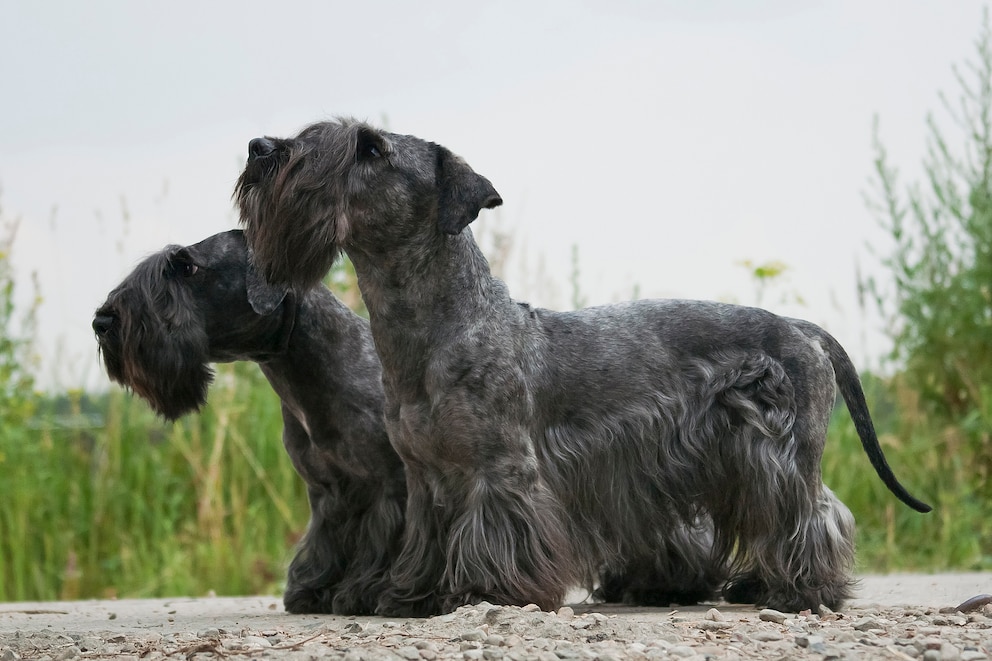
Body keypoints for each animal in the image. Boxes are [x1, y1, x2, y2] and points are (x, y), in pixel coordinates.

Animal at [91, 229, 404, 616]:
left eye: (188, 267)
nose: (103, 323)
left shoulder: (390, 485)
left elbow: (385, 542)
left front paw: (362, 592)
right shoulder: (327, 493)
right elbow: (325, 543)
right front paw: (313, 590)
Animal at [234, 121, 928, 616]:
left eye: (371, 148)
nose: (262, 149)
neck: (430, 331)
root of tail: (799, 328)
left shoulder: (501, 468)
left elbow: (499, 532)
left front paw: (487, 593)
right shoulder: (424, 479)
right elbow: (425, 544)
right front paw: (409, 597)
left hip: (781, 455)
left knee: (815, 512)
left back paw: (801, 591)